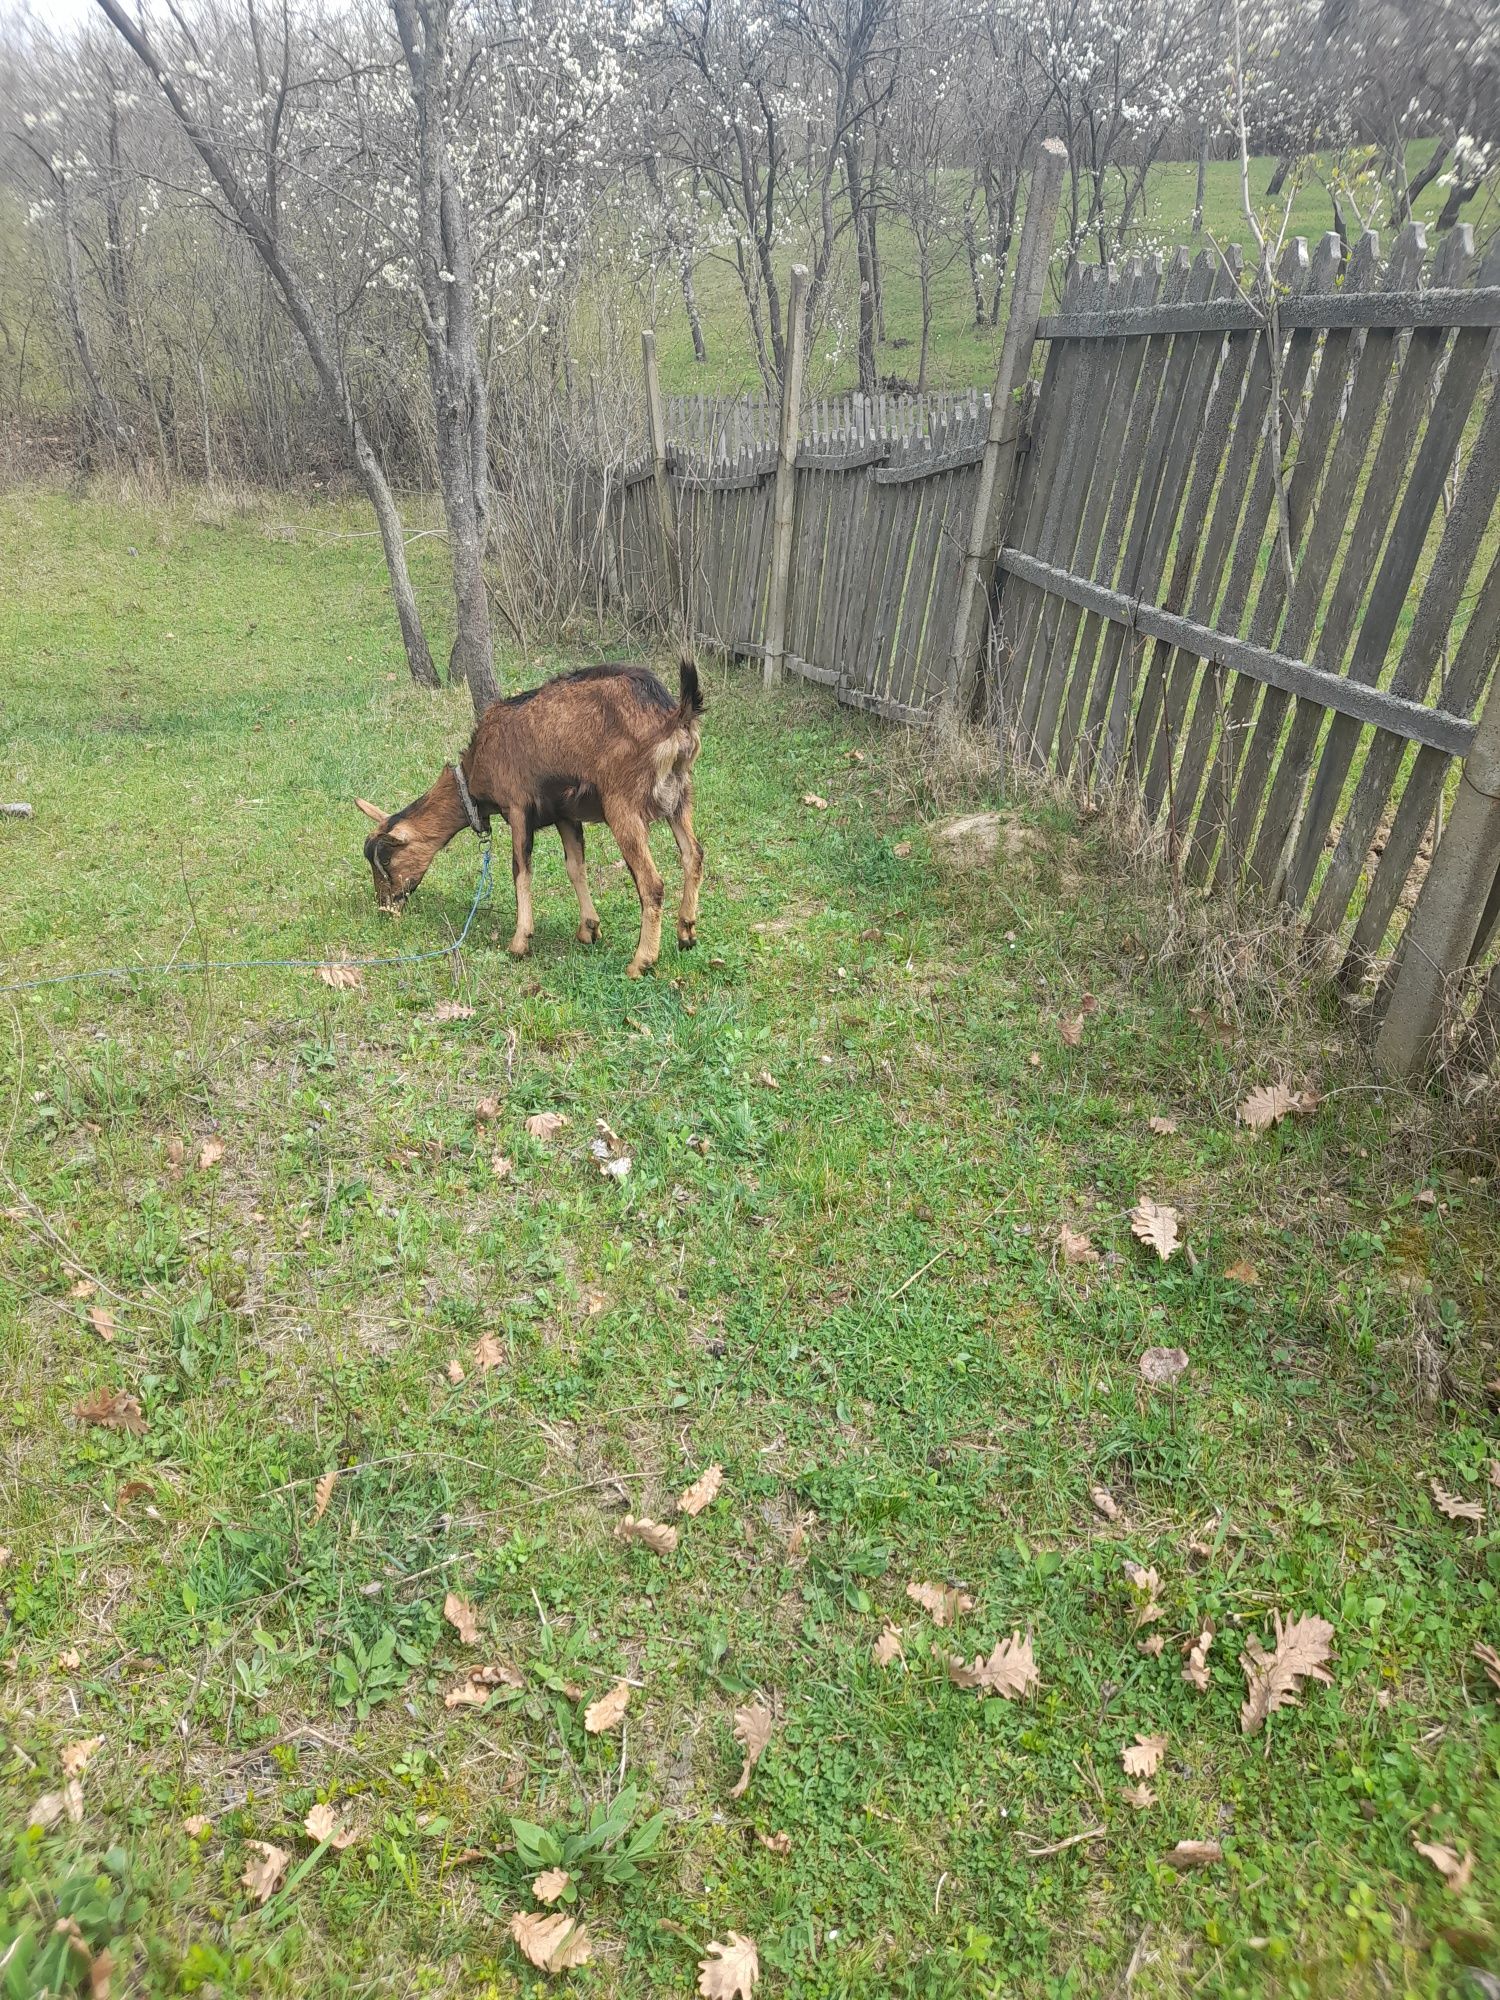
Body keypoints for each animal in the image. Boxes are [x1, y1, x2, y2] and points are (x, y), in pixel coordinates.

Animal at [356, 656, 708, 976]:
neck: (476, 770)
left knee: (652, 883)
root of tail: (673, 716)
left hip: (623, 804)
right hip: (681, 795)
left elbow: (520, 870)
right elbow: (575, 867)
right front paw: (589, 929)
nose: (385, 906)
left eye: (385, 859)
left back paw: (641, 961)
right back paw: (686, 933)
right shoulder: (565, 814)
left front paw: (519, 942)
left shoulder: (517, 807)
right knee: (694, 854)